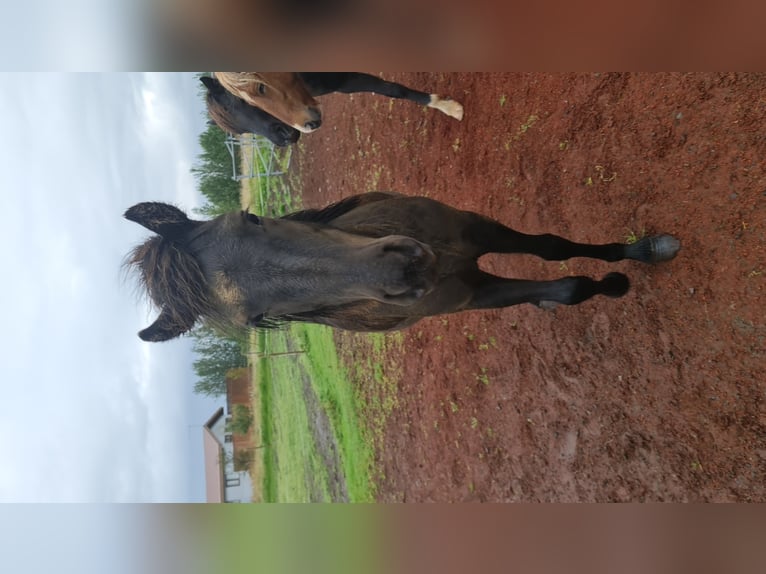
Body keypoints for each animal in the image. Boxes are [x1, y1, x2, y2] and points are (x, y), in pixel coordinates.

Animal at [123, 192, 680, 342]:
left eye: (253, 217)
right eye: (256, 320)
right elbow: (567, 286)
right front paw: (611, 284)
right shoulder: (472, 293)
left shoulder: (474, 228)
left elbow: (551, 247)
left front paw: (645, 250)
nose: (404, 273)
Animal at [204, 73, 464, 144]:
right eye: (243, 132)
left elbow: (393, 90)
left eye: (243, 102)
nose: (285, 139)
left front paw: (447, 106)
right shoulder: (341, 82)